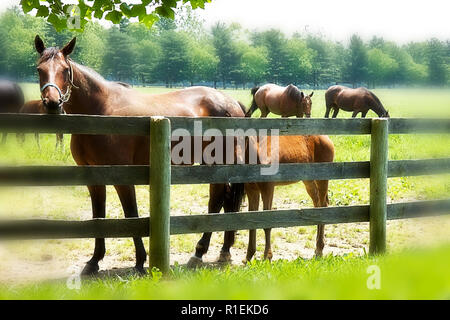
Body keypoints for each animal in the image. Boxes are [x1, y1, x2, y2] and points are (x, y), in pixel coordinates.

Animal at [34, 35, 246, 276]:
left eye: (64, 69)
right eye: (40, 69)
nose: (52, 103)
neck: (101, 110)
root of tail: (231, 102)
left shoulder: (123, 178)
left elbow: (131, 215)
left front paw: (140, 261)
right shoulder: (94, 177)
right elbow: (98, 216)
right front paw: (94, 261)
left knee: (216, 199)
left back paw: (199, 252)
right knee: (224, 199)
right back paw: (223, 250)